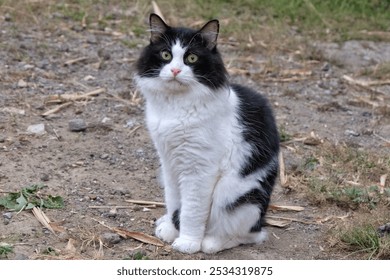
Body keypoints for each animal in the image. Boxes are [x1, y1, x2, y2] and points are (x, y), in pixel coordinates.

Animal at [136, 13, 278, 254]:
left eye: (191, 58)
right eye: (166, 55)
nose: (175, 71)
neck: (175, 106)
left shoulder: (199, 170)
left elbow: (191, 211)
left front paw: (187, 242)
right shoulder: (169, 162)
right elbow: (174, 201)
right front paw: (172, 229)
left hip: (237, 195)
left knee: (251, 235)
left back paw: (212, 241)